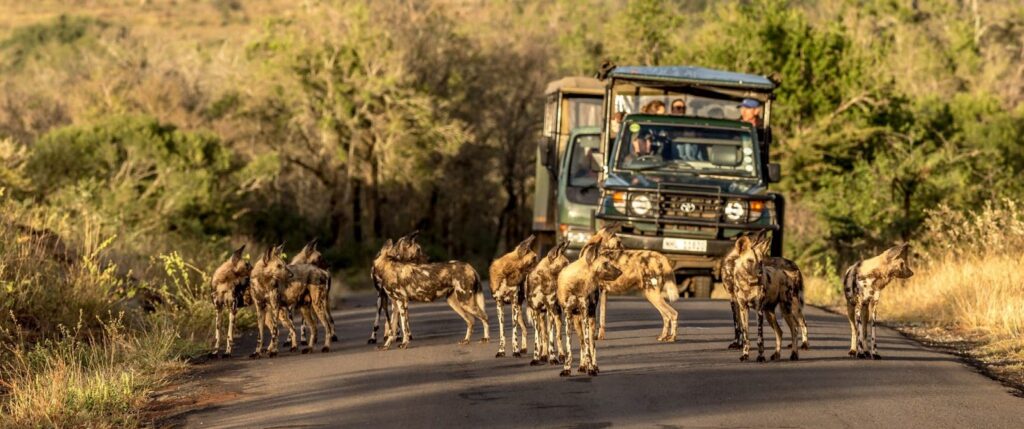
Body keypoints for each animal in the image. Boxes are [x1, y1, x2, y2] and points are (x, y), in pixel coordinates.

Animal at [557, 243, 618, 378]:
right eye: (605, 263)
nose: (620, 272)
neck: (576, 284)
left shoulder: (585, 313)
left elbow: (588, 347)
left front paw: (591, 369)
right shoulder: (568, 316)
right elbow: (569, 348)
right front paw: (566, 368)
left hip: (590, 321)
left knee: (590, 344)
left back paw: (594, 366)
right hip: (577, 323)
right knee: (582, 344)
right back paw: (582, 365)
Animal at [737, 231, 806, 362]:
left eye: (761, 262)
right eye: (750, 261)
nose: (760, 272)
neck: (748, 285)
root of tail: (787, 272)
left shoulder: (759, 310)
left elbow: (760, 339)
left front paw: (760, 357)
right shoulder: (743, 309)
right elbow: (745, 336)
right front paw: (745, 355)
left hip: (786, 310)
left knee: (794, 330)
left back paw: (794, 354)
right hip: (769, 313)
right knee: (779, 332)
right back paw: (776, 354)